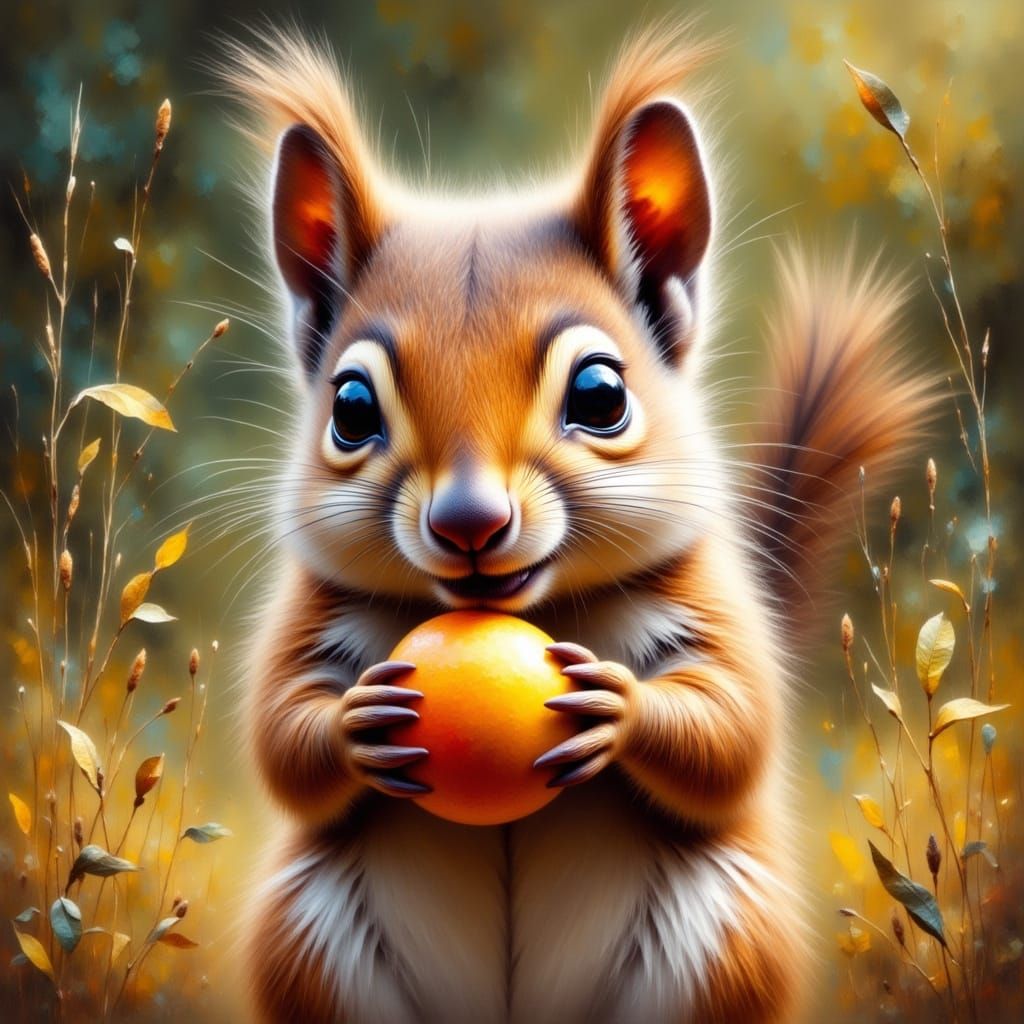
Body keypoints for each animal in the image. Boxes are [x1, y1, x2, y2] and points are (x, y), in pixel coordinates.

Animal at [217, 21, 936, 1024]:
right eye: (350, 409)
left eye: (600, 396)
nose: (470, 521)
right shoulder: (309, 611)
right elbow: (279, 736)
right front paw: (358, 719)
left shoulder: (713, 602)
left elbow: (735, 726)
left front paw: (619, 708)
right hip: (318, 959)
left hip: (715, 955)